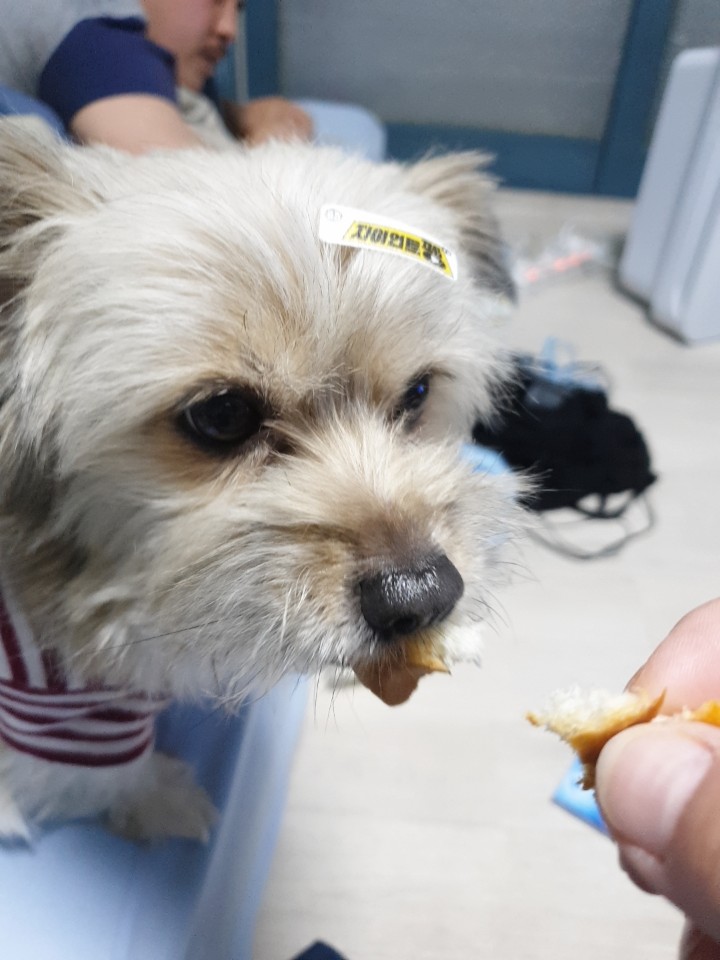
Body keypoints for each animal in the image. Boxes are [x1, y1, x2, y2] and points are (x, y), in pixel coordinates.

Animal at [0, 118, 518, 841]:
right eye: (222, 415)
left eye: (418, 393)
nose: (422, 597)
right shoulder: (48, 705)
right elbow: (98, 771)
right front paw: (162, 800)